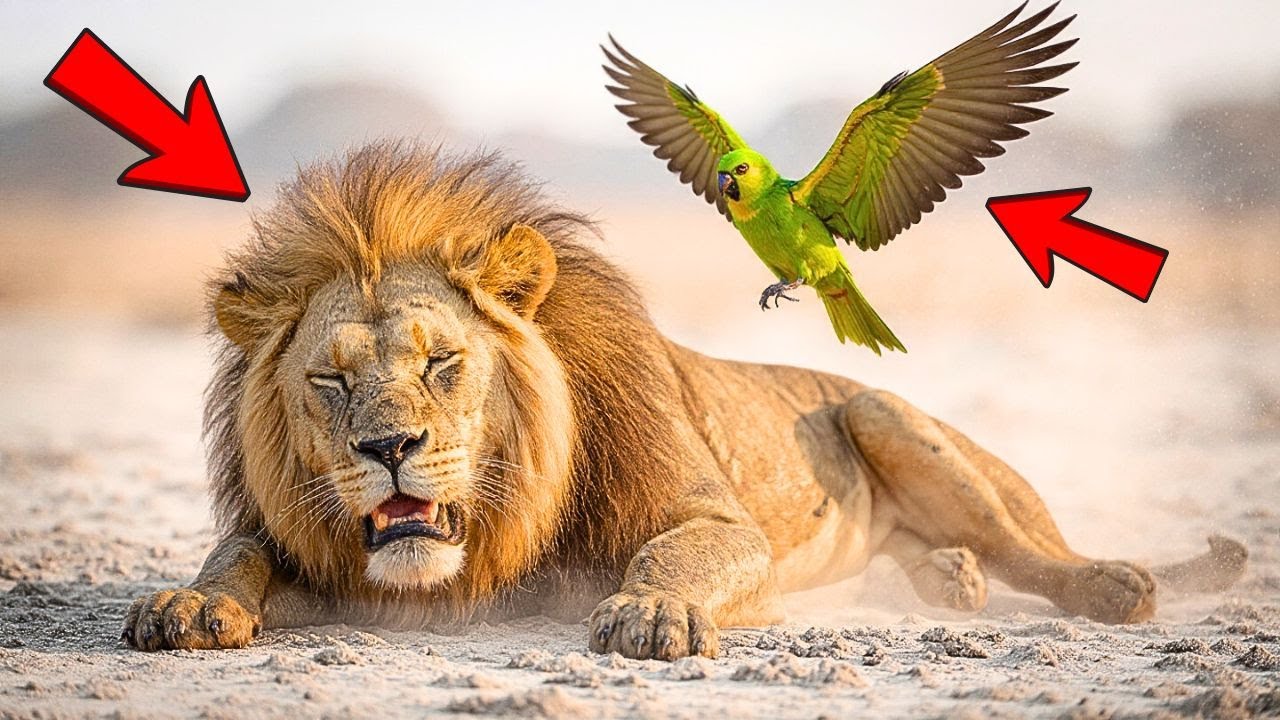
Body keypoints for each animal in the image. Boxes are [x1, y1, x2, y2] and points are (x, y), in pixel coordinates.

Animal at [123, 142, 1246, 659]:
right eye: (330, 378)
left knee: (1031, 547)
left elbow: (675, 555)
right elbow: (238, 555)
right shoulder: (311, 547)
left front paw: (652, 611)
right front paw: (188, 604)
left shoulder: (715, 518)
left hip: (885, 416)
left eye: (442, 362)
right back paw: (945, 583)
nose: (389, 446)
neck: (495, 530)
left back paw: (1104, 584)